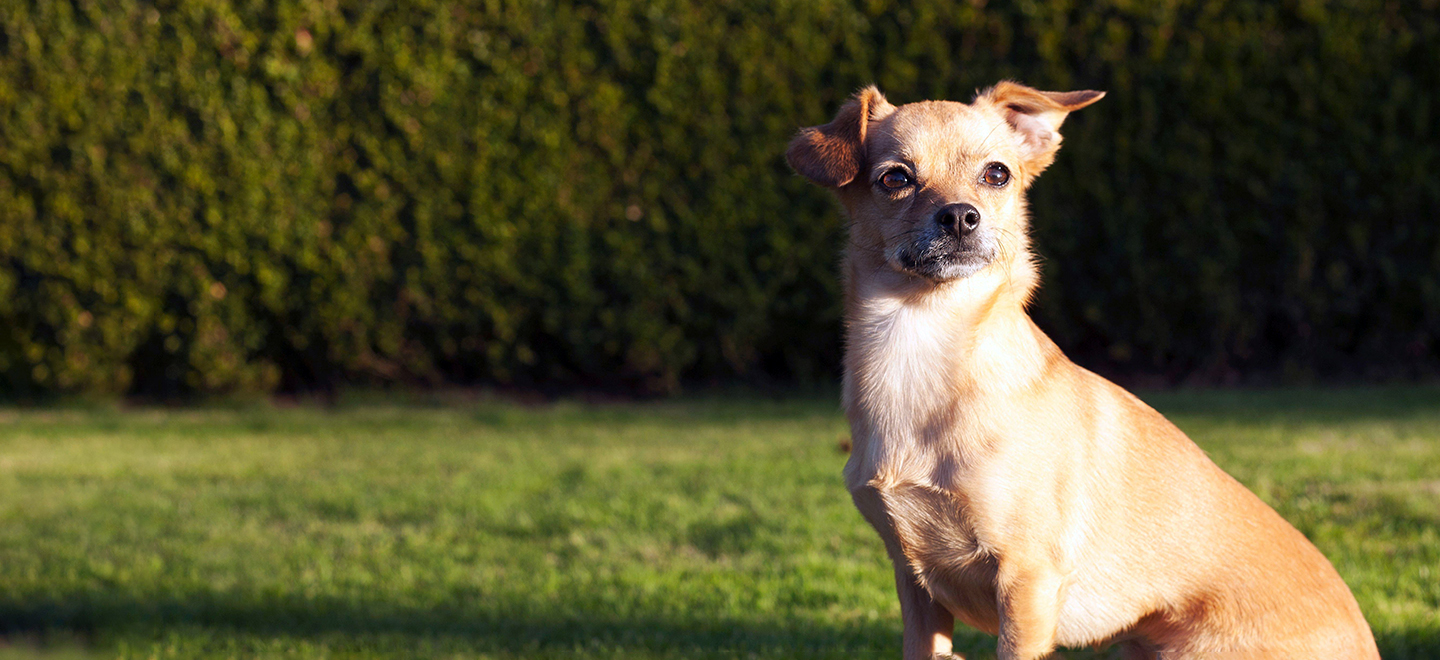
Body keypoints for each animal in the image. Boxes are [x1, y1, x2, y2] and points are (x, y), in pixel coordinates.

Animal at [789, 82, 1382, 660]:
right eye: (895, 179)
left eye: (997, 174)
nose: (960, 215)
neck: (919, 340)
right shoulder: (916, 586)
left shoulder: (1026, 581)